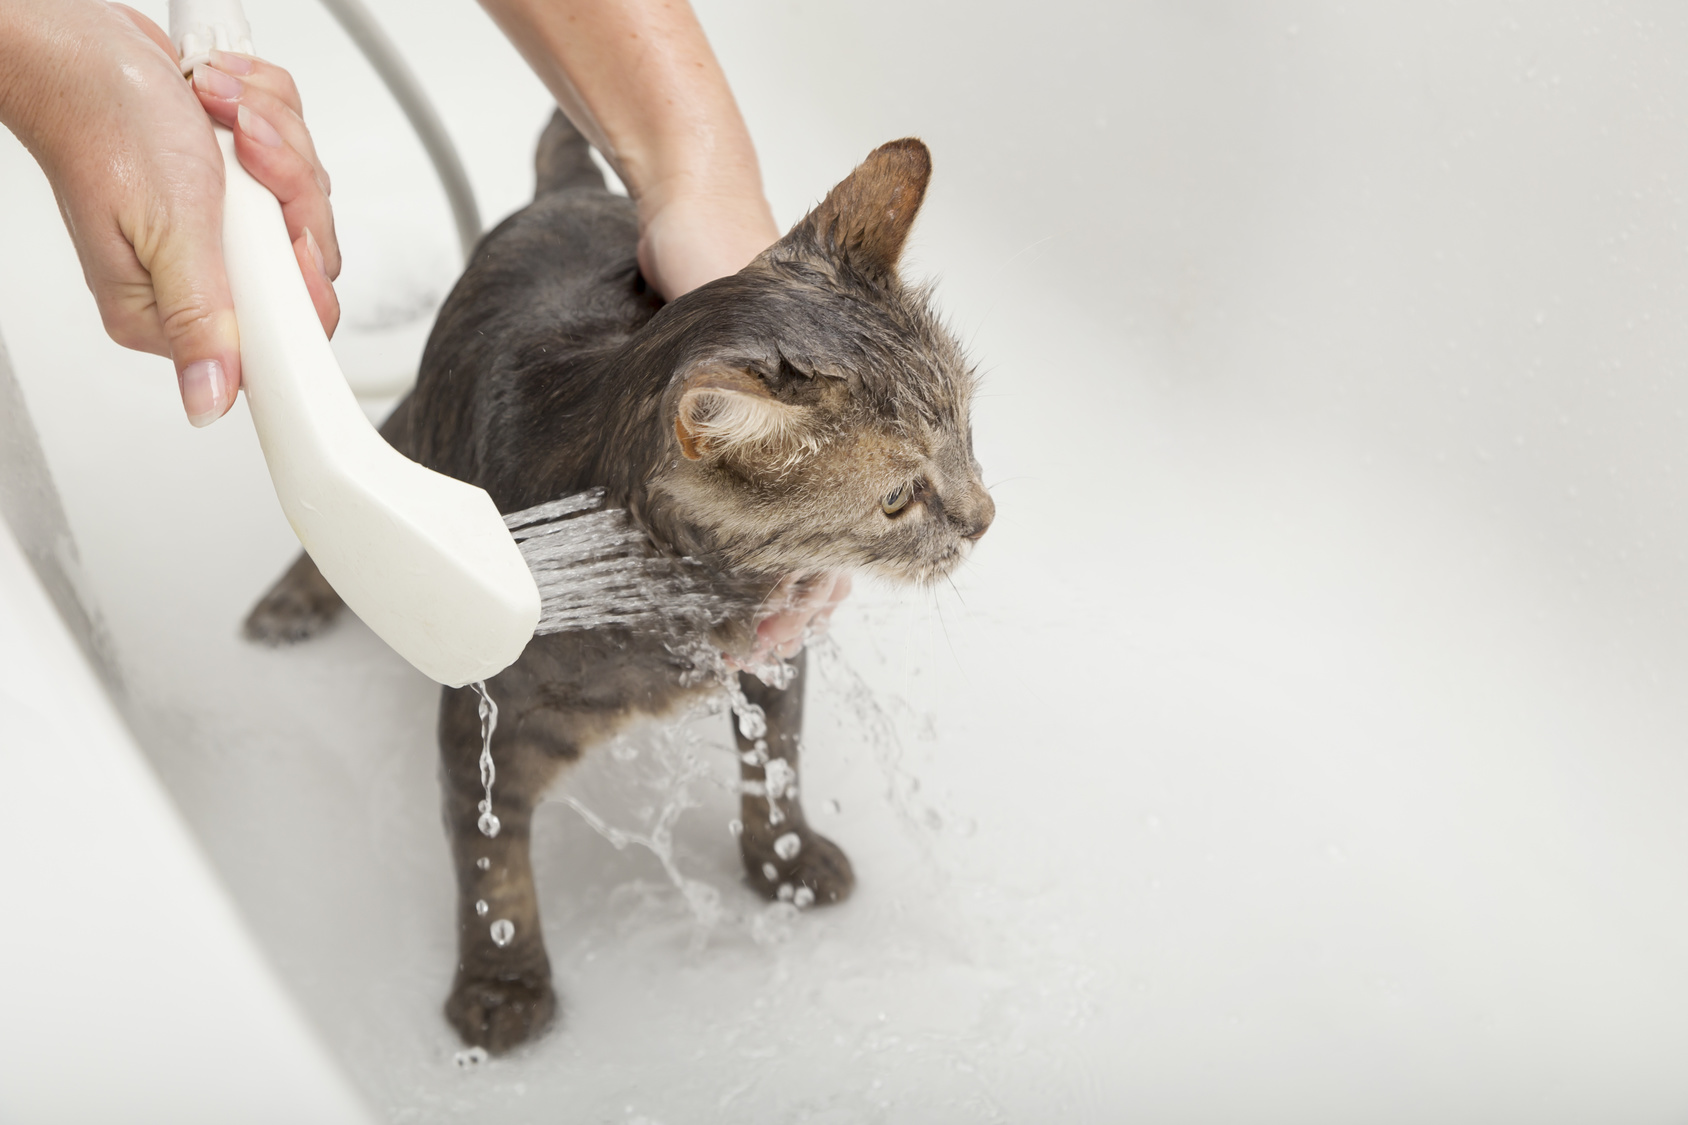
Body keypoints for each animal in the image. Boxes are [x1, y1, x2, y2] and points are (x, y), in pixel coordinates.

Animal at [244, 109, 992, 1047]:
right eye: (898, 498)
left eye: (966, 428)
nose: (985, 516)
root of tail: (566, 191)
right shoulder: (489, 718)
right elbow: (491, 863)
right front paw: (503, 982)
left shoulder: (772, 657)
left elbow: (776, 767)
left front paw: (782, 861)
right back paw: (293, 598)